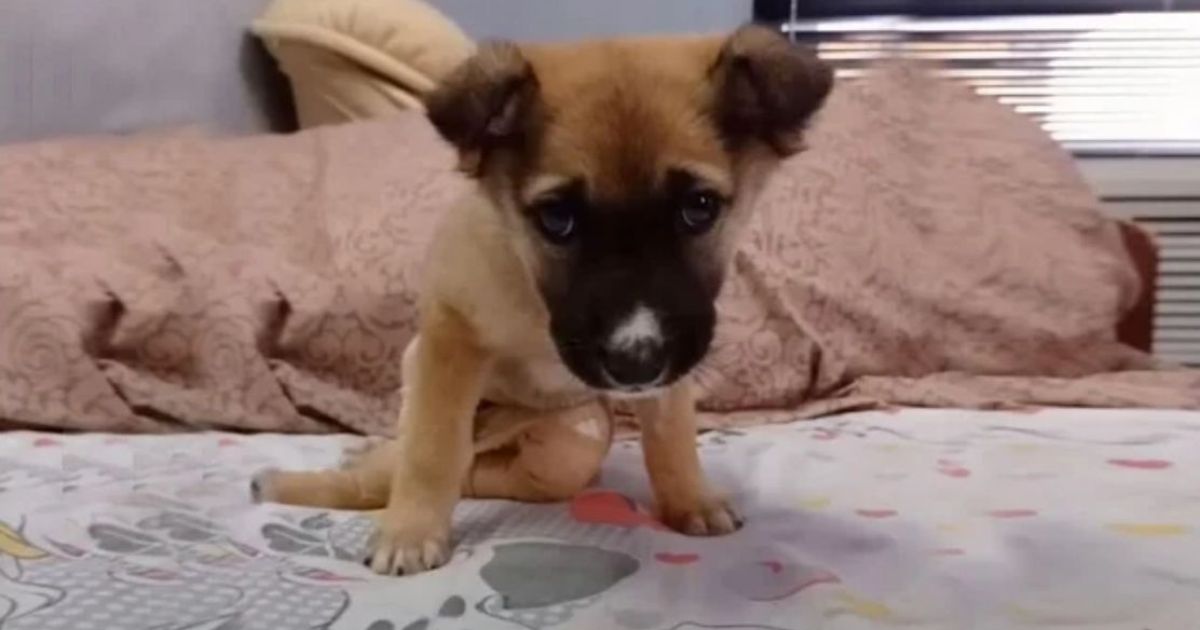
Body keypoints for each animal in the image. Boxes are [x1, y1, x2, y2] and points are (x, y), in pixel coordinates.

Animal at [250, 24, 835, 573]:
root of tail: (499, 426)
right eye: (557, 218)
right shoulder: (449, 336)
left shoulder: (671, 368)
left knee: (487, 476)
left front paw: (690, 500)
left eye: (700, 207)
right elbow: (432, 451)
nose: (636, 362)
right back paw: (289, 484)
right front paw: (411, 532)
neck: (534, 299)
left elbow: (670, 437)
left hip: (577, 436)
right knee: (395, 471)